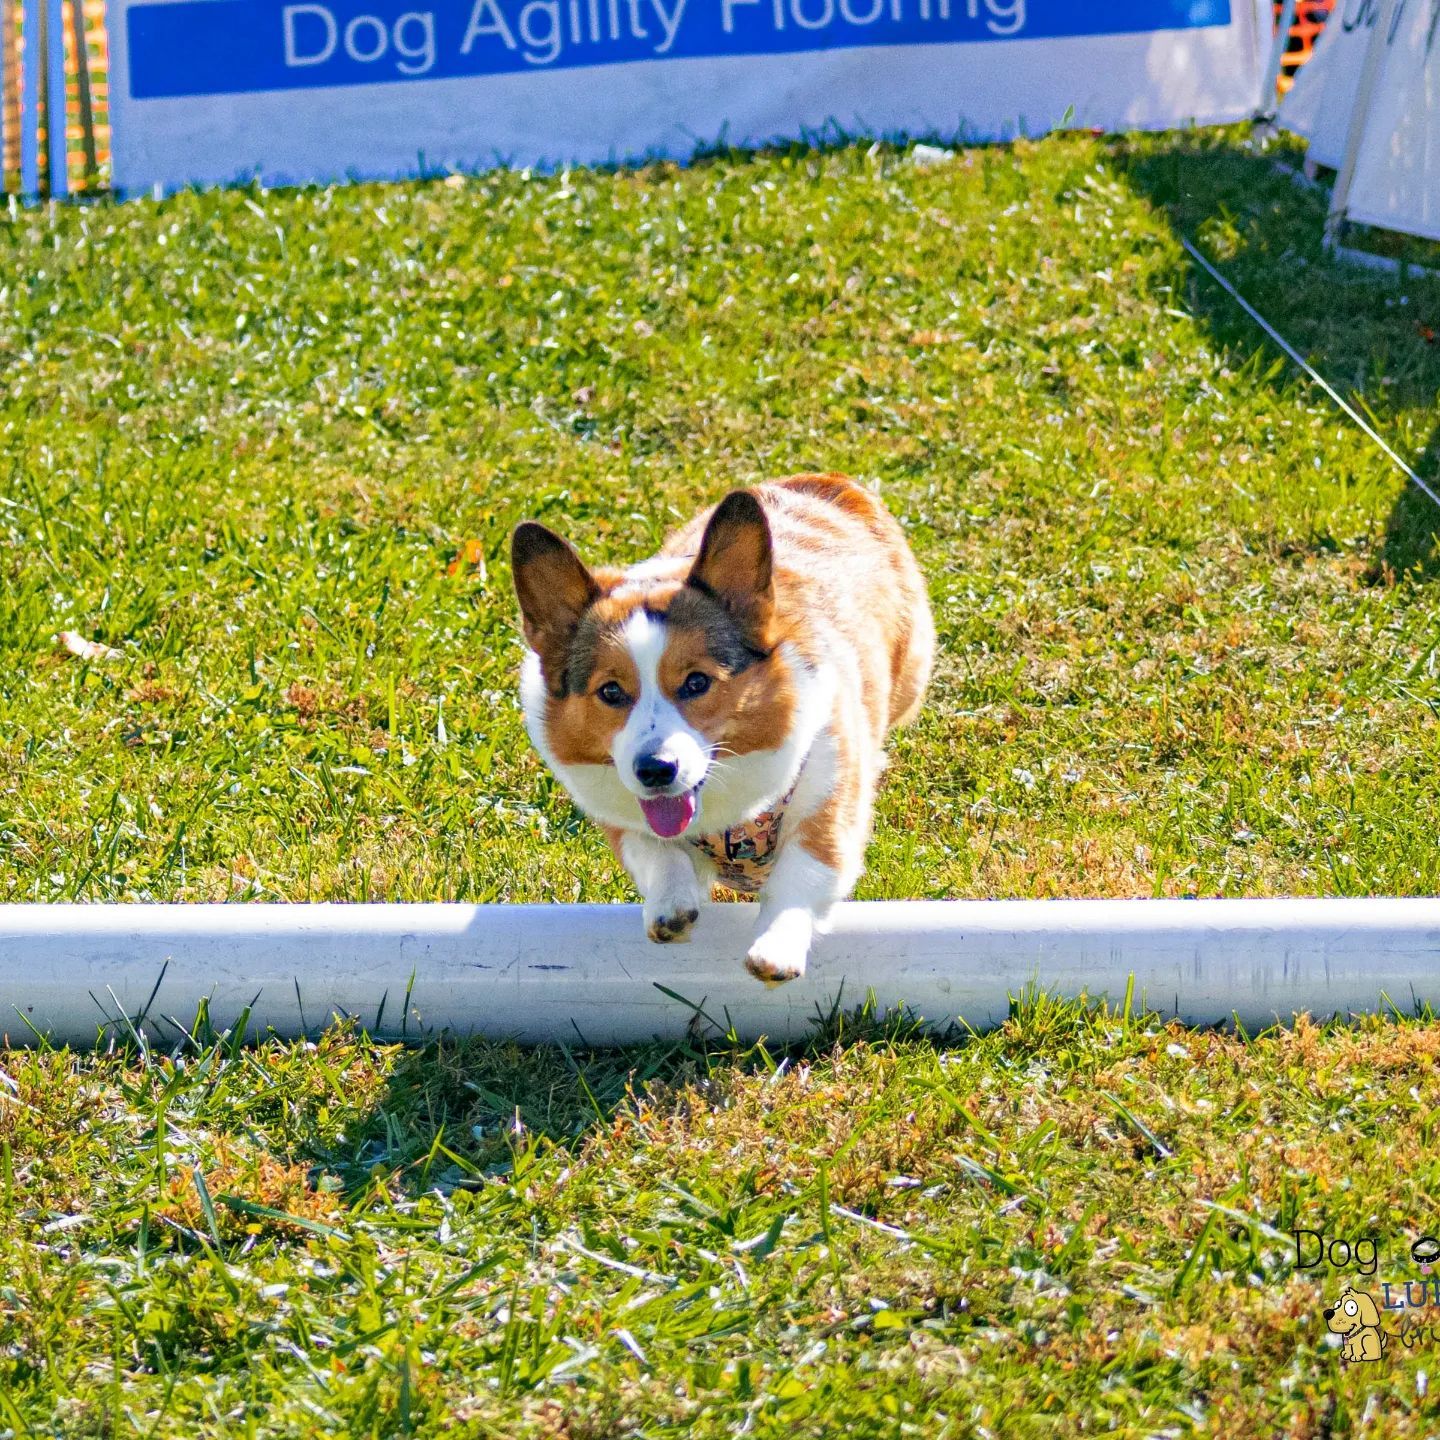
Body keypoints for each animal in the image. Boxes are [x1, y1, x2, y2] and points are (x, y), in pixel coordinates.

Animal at [512, 478, 938, 984]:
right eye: (611, 691)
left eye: (697, 682)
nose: (655, 770)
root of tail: (828, 481)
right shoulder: (622, 820)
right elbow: (657, 852)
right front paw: (671, 908)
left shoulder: (831, 800)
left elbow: (801, 874)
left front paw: (775, 949)